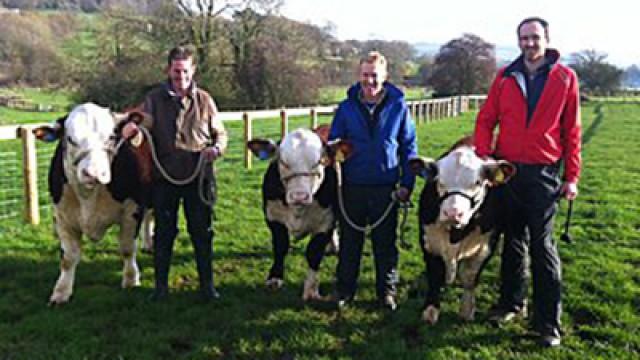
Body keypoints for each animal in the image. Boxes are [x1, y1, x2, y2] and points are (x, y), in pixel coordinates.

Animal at [35, 102, 154, 306]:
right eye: (70, 139)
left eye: (112, 137)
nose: (94, 173)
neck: (88, 197)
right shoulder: (62, 217)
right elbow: (68, 257)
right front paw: (61, 292)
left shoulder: (132, 210)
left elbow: (127, 248)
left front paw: (131, 280)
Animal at [410, 136, 516, 324]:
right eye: (439, 181)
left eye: (478, 182)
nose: (452, 213)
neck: (455, 235)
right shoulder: (429, 240)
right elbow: (435, 274)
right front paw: (430, 311)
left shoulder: (486, 244)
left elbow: (469, 276)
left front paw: (467, 310)